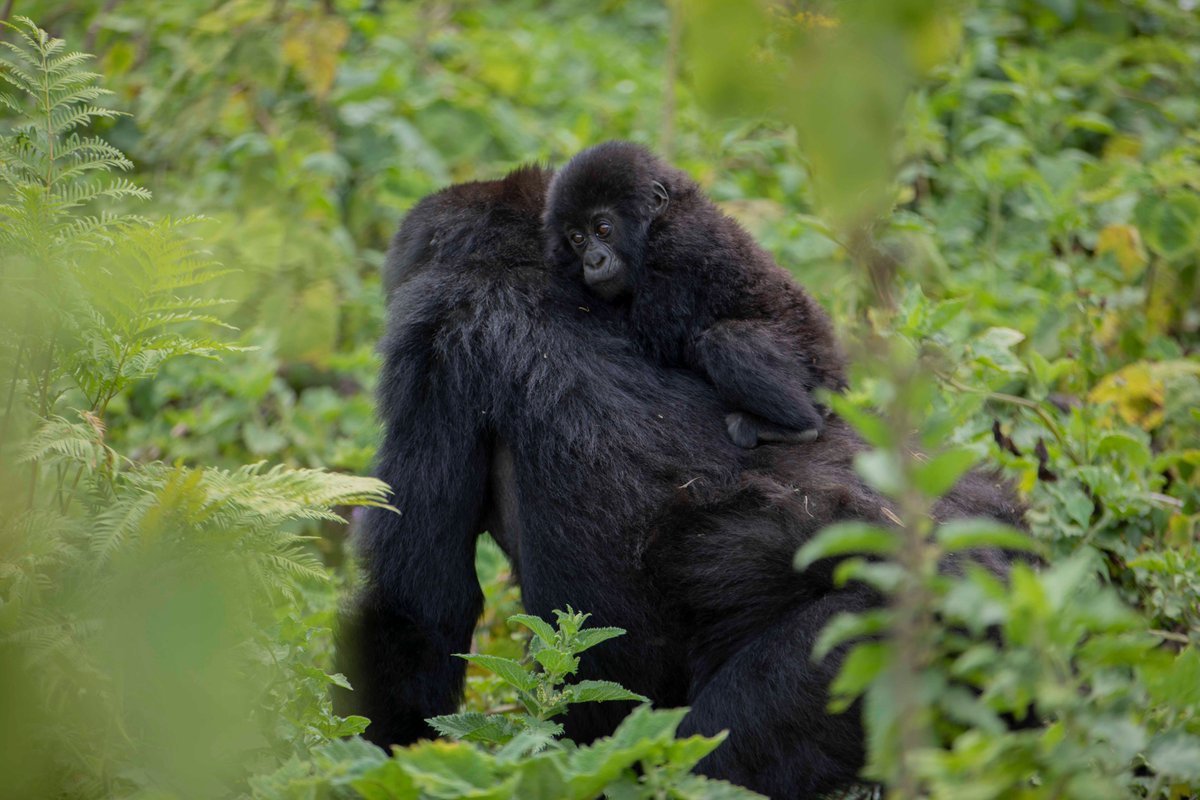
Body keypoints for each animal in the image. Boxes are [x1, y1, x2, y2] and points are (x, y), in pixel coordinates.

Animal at [544, 140, 844, 448]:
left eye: (603, 228)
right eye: (577, 238)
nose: (594, 261)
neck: (660, 221)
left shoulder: (677, 251)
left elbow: (649, 346)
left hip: (813, 377)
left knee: (729, 341)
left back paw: (798, 427)